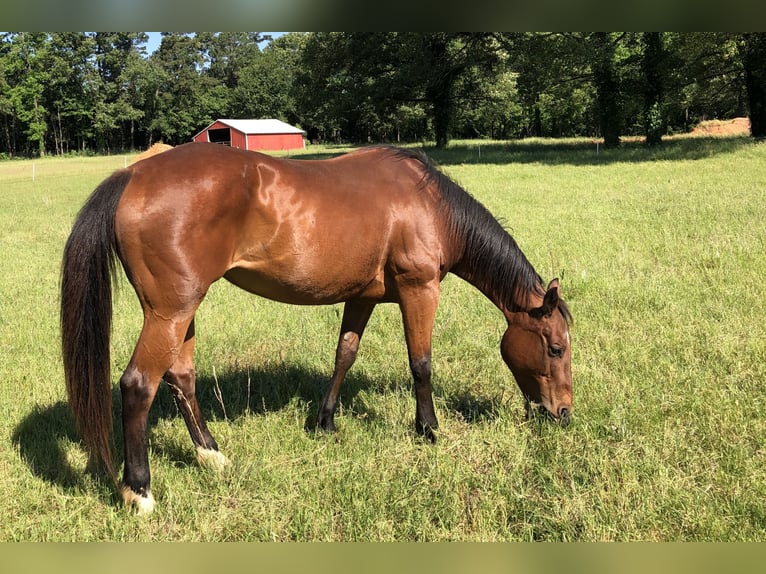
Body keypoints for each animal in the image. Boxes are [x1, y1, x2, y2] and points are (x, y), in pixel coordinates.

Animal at [60, 142, 572, 514]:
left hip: (182, 314)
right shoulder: (419, 289)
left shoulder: (362, 297)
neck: (429, 205)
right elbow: (421, 363)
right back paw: (140, 491)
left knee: (181, 378)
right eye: (556, 348)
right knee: (138, 385)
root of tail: (133, 175)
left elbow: (345, 354)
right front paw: (428, 429)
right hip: (170, 312)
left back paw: (211, 454)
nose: (563, 413)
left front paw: (325, 421)